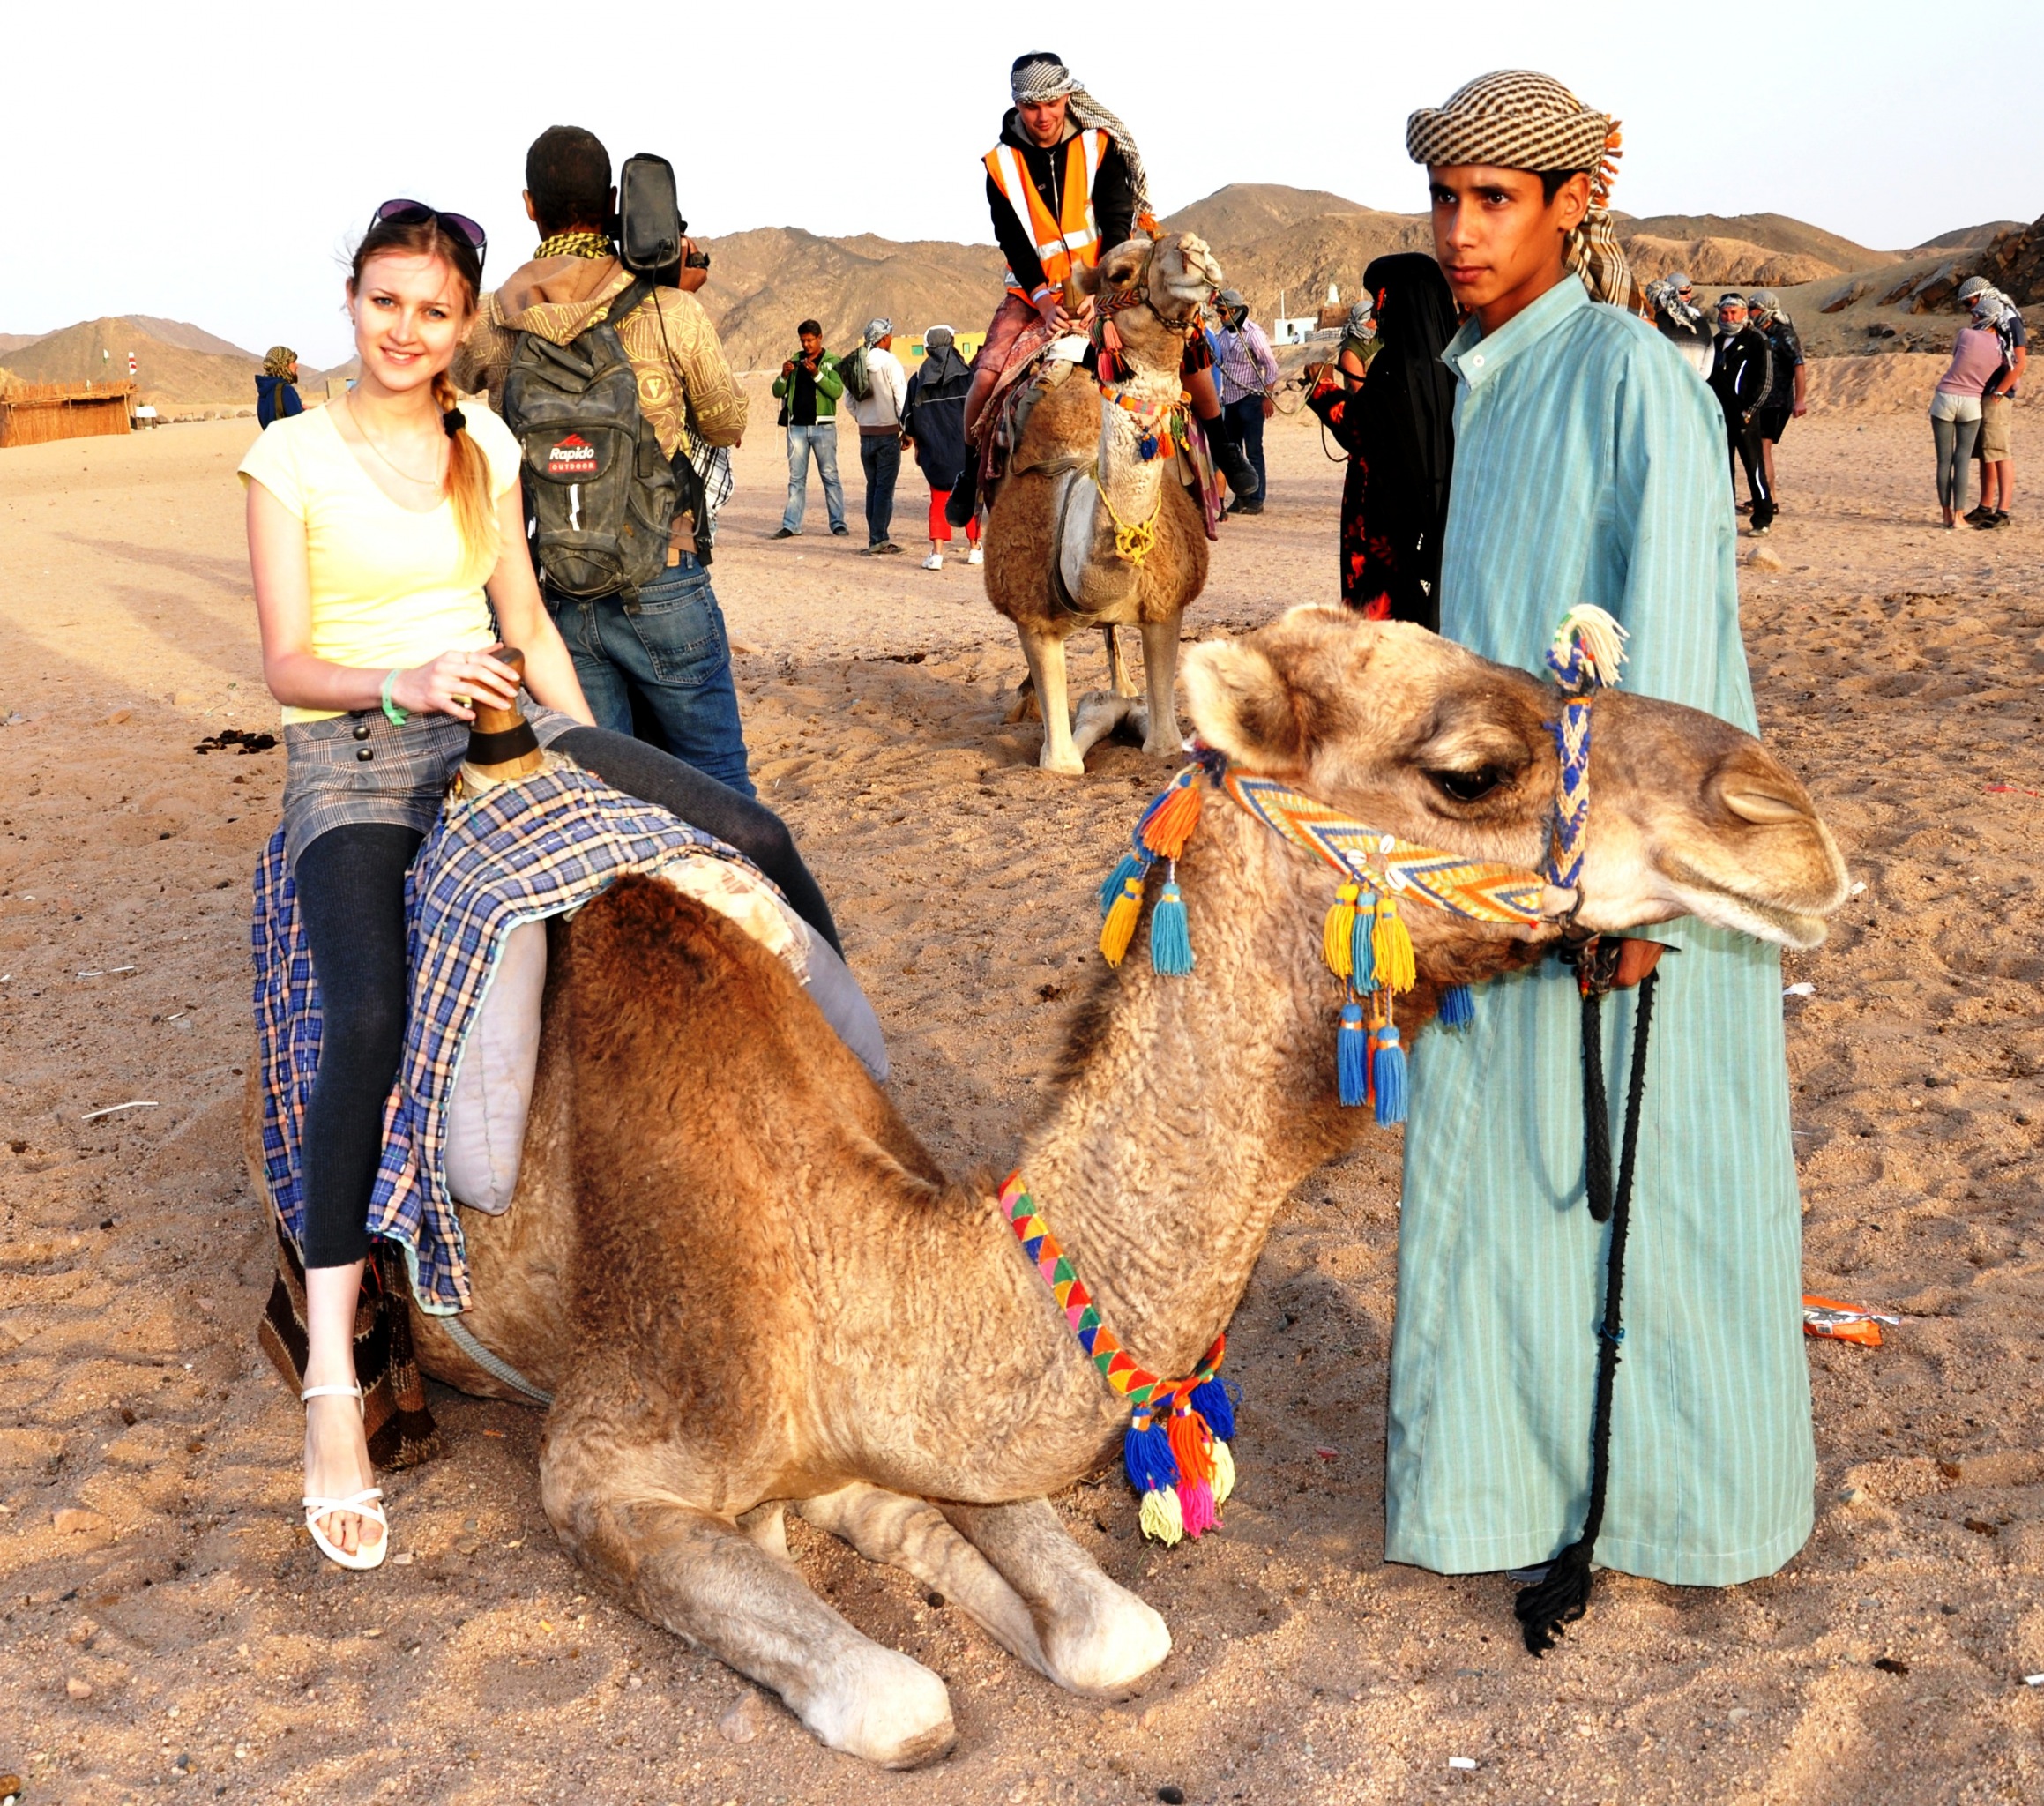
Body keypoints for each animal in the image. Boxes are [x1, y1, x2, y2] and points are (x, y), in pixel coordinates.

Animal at [261, 609, 1848, 1768]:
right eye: (1467, 768)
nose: (1786, 818)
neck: (843, 1259)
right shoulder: (598, 1463)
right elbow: (900, 1702)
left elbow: (1102, 1631)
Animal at [981, 233, 1222, 776]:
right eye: (1119, 273)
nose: (1195, 251)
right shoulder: (1032, 621)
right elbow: (1061, 762)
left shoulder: (1166, 607)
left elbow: (1163, 744)